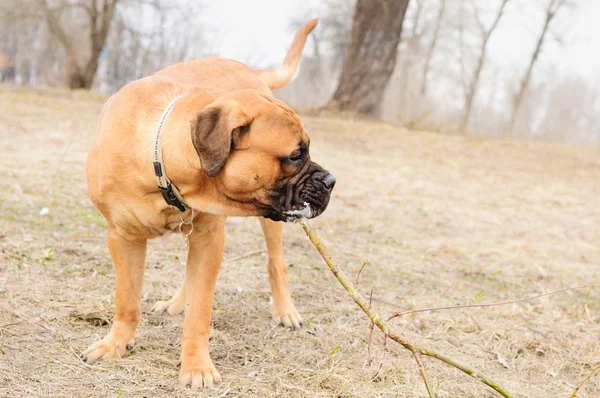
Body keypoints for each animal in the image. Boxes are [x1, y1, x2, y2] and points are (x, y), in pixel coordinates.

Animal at [82, 19, 336, 388]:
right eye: (294, 156)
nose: (331, 181)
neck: (162, 164)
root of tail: (248, 69)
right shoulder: (123, 238)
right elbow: (127, 300)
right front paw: (116, 344)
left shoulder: (210, 237)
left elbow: (200, 312)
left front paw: (196, 366)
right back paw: (177, 303)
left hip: (259, 228)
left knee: (276, 263)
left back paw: (285, 311)